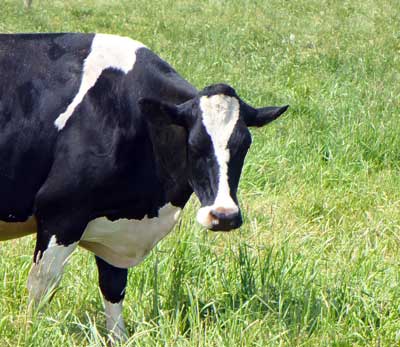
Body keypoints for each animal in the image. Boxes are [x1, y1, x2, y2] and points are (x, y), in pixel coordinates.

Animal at [0, 33, 288, 342]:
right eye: (194, 143)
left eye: (244, 145)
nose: (223, 216)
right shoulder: (60, 212)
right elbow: (41, 287)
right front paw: (29, 335)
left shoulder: (115, 226)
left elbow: (113, 289)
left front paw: (119, 339)